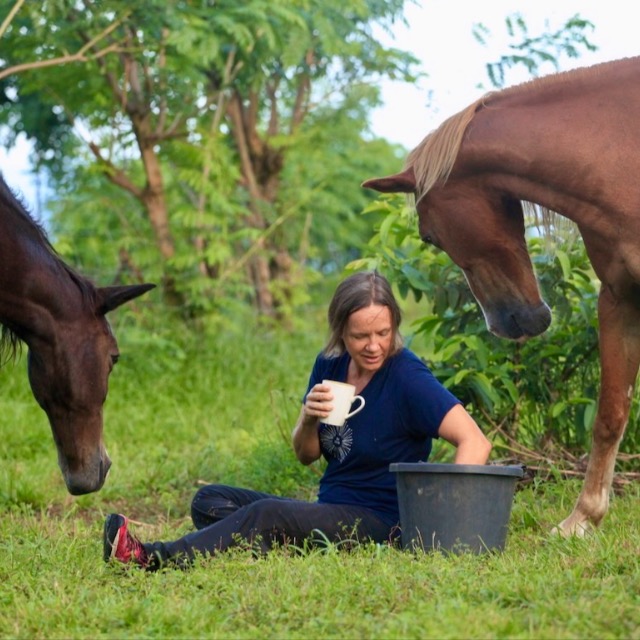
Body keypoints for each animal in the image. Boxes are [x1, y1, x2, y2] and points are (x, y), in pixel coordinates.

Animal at [364, 56, 640, 536]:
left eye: (428, 234)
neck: (624, 150)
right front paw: (582, 519)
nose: (509, 323)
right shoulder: (620, 298)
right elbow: (610, 416)